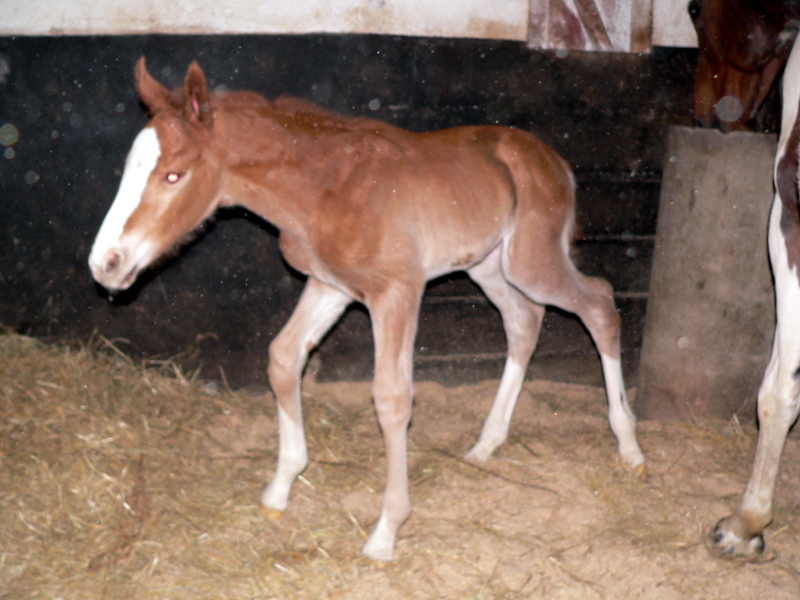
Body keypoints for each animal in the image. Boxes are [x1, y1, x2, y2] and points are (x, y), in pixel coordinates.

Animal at [89, 58, 644, 560]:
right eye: (128, 171)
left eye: (173, 175)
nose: (105, 264)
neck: (322, 189)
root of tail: (555, 161)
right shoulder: (329, 285)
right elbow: (283, 358)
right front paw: (280, 488)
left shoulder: (396, 291)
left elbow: (392, 397)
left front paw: (385, 532)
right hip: (489, 264)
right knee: (523, 322)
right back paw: (487, 444)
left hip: (532, 262)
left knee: (599, 304)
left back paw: (629, 445)